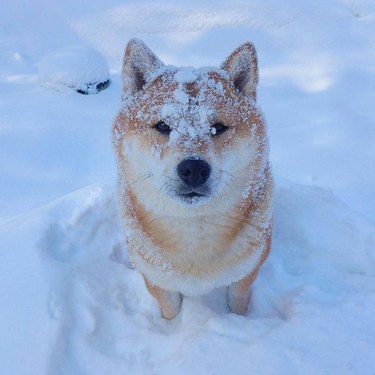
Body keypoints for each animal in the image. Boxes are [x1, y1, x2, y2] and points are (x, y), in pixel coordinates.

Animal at [112, 39, 274, 320]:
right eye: (162, 126)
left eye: (218, 127)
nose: (194, 168)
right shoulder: (157, 280)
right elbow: (170, 309)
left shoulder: (246, 273)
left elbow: (238, 302)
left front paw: (239, 321)